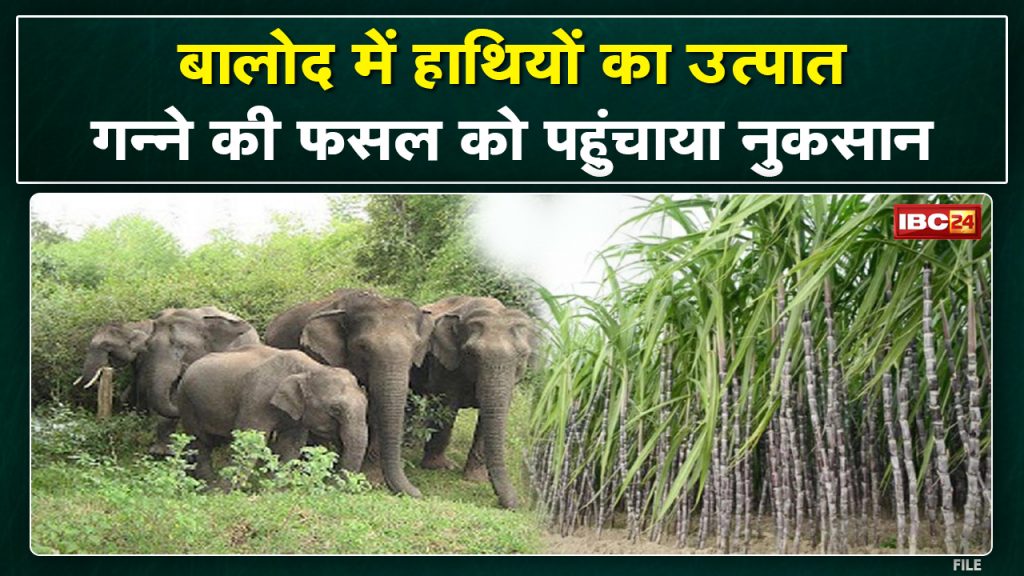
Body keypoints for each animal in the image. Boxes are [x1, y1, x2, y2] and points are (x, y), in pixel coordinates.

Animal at [177, 345, 368, 481]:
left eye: (366, 404)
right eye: (335, 409)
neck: (311, 368)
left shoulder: (297, 413)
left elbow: (291, 445)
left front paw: (272, 488)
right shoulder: (257, 398)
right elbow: (250, 439)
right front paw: (228, 491)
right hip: (186, 402)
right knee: (199, 441)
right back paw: (209, 486)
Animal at [411, 296, 537, 509]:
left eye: (523, 356)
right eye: (472, 354)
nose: (515, 504)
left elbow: (489, 417)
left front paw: (476, 479)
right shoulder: (445, 362)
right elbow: (448, 405)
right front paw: (440, 467)